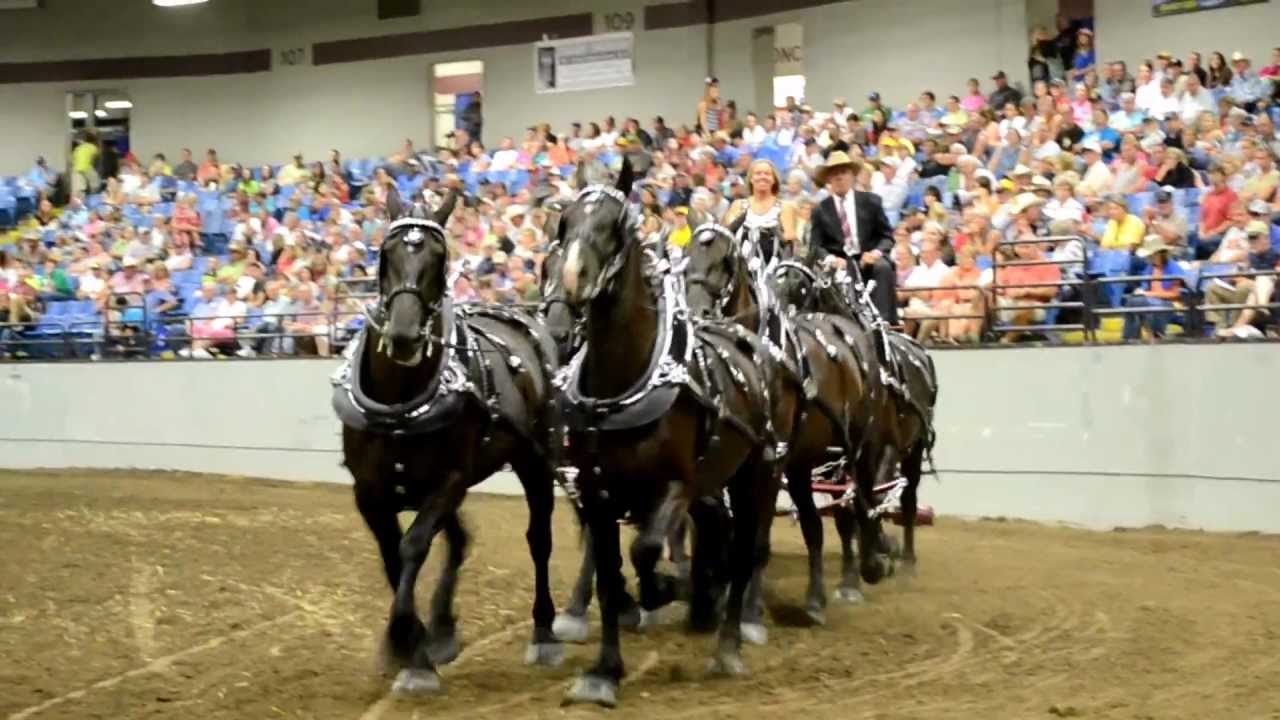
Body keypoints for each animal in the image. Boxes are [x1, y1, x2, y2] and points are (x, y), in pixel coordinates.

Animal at [337, 188, 563, 691]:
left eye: (439, 258)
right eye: (385, 253)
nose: (403, 335)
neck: (400, 402)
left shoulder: (450, 480)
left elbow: (412, 547)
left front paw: (415, 658)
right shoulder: (369, 492)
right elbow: (393, 558)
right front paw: (406, 643)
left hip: (534, 462)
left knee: (538, 539)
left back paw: (544, 631)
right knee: (459, 541)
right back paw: (442, 629)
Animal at [555, 159, 783, 702]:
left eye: (615, 227)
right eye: (564, 223)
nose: (572, 278)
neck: (624, 381)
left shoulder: (677, 483)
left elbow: (645, 550)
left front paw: (661, 591)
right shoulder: (595, 490)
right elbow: (608, 572)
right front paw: (603, 670)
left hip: (757, 474)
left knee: (747, 549)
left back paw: (728, 642)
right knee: (720, 534)